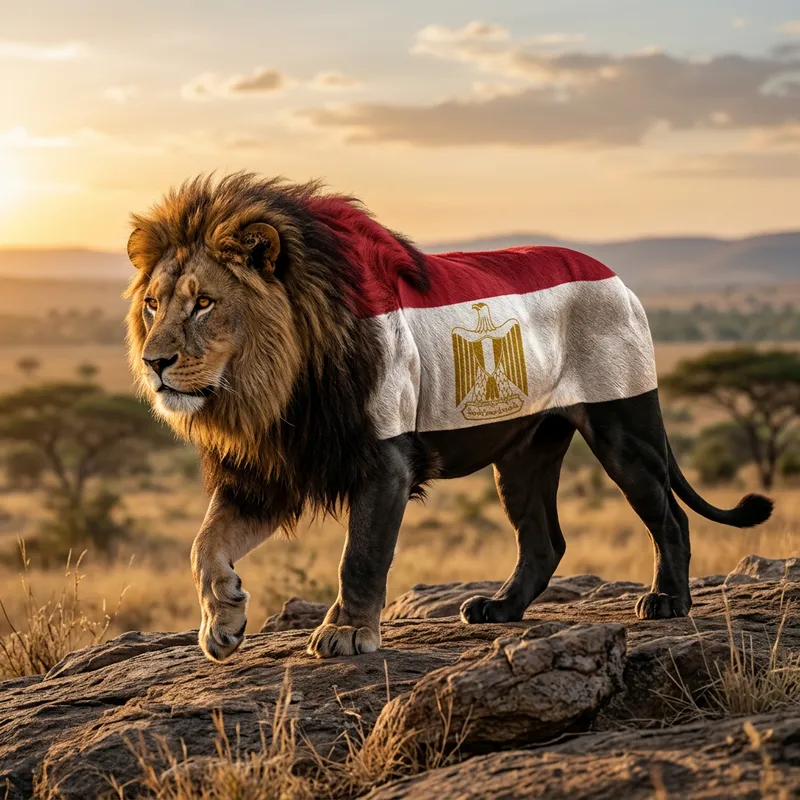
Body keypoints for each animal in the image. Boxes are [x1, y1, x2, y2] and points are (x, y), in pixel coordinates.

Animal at [125, 173, 773, 661]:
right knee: (545, 541)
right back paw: (500, 609)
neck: (278, 387)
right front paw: (223, 622)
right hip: (525, 454)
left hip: (623, 429)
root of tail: (616, 278)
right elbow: (204, 545)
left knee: (670, 516)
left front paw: (346, 632)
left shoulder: (386, 461)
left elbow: (360, 556)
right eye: (153, 304)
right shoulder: (270, 470)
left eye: (204, 303)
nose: (153, 362)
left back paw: (668, 602)